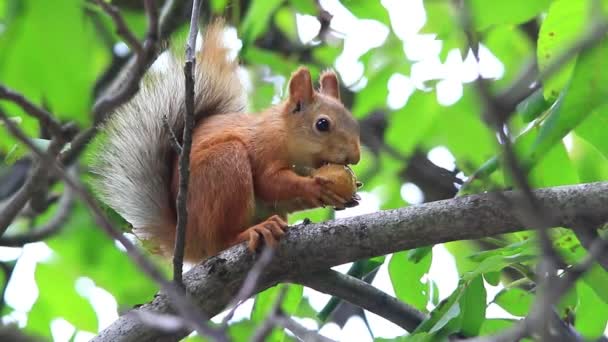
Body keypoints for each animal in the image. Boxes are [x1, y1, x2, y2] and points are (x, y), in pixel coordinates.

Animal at [92, 20, 358, 262]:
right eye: (322, 124)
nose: (355, 157)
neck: (285, 134)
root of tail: (189, 241)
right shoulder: (264, 148)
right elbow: (269, 182)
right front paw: (314, 186)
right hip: (225, 165)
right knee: (222, 240)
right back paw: (251, 231)